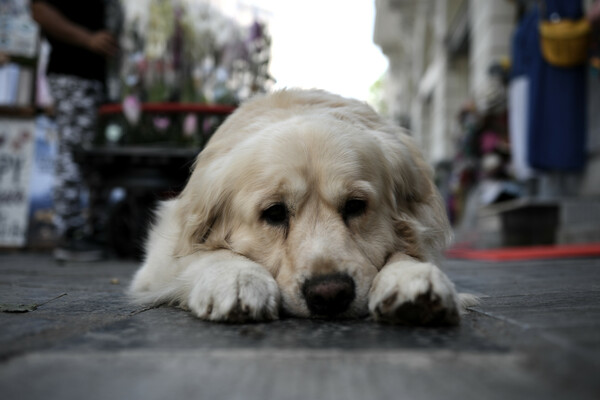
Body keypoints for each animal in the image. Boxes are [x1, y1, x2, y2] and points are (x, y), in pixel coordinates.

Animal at [129, 90, 476, 324]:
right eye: (274, 213)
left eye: (355, 205)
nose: (329, 293)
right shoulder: (164, 252)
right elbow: (204, 254)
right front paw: (237, 278)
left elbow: (407, 251)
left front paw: (411, 278)